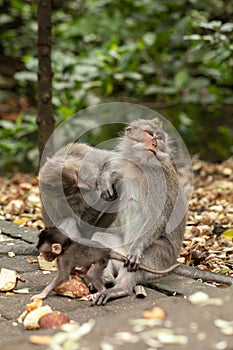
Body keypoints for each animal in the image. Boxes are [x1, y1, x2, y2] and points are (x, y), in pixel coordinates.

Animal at [31, 227, 180, 300]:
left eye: (46, 253)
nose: (46, 259)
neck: (66, 245)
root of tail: (106, 250)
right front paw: (76, 271)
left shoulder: (64, 258)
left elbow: (62, 277)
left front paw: (42, 294)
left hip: (102, 260)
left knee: (92, 273)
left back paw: (101, 291)